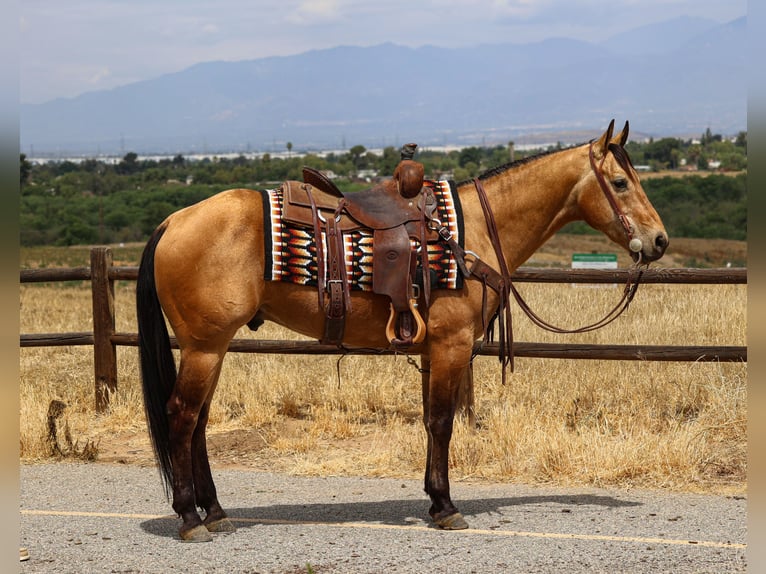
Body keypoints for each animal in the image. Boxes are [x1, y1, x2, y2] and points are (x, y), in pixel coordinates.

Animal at [137, 120, 668, 541]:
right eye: (620, 182)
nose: (659, 241)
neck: (472, 231)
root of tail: (172, 222)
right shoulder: (452, 346)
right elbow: (443, 422)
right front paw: (447, 507)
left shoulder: (434, 349)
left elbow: (431, 420)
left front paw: (434, 500)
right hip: (205, 347)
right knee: (182, 418)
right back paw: (191, 518)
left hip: (212, 348)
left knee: (199, 422)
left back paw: (215, 512)